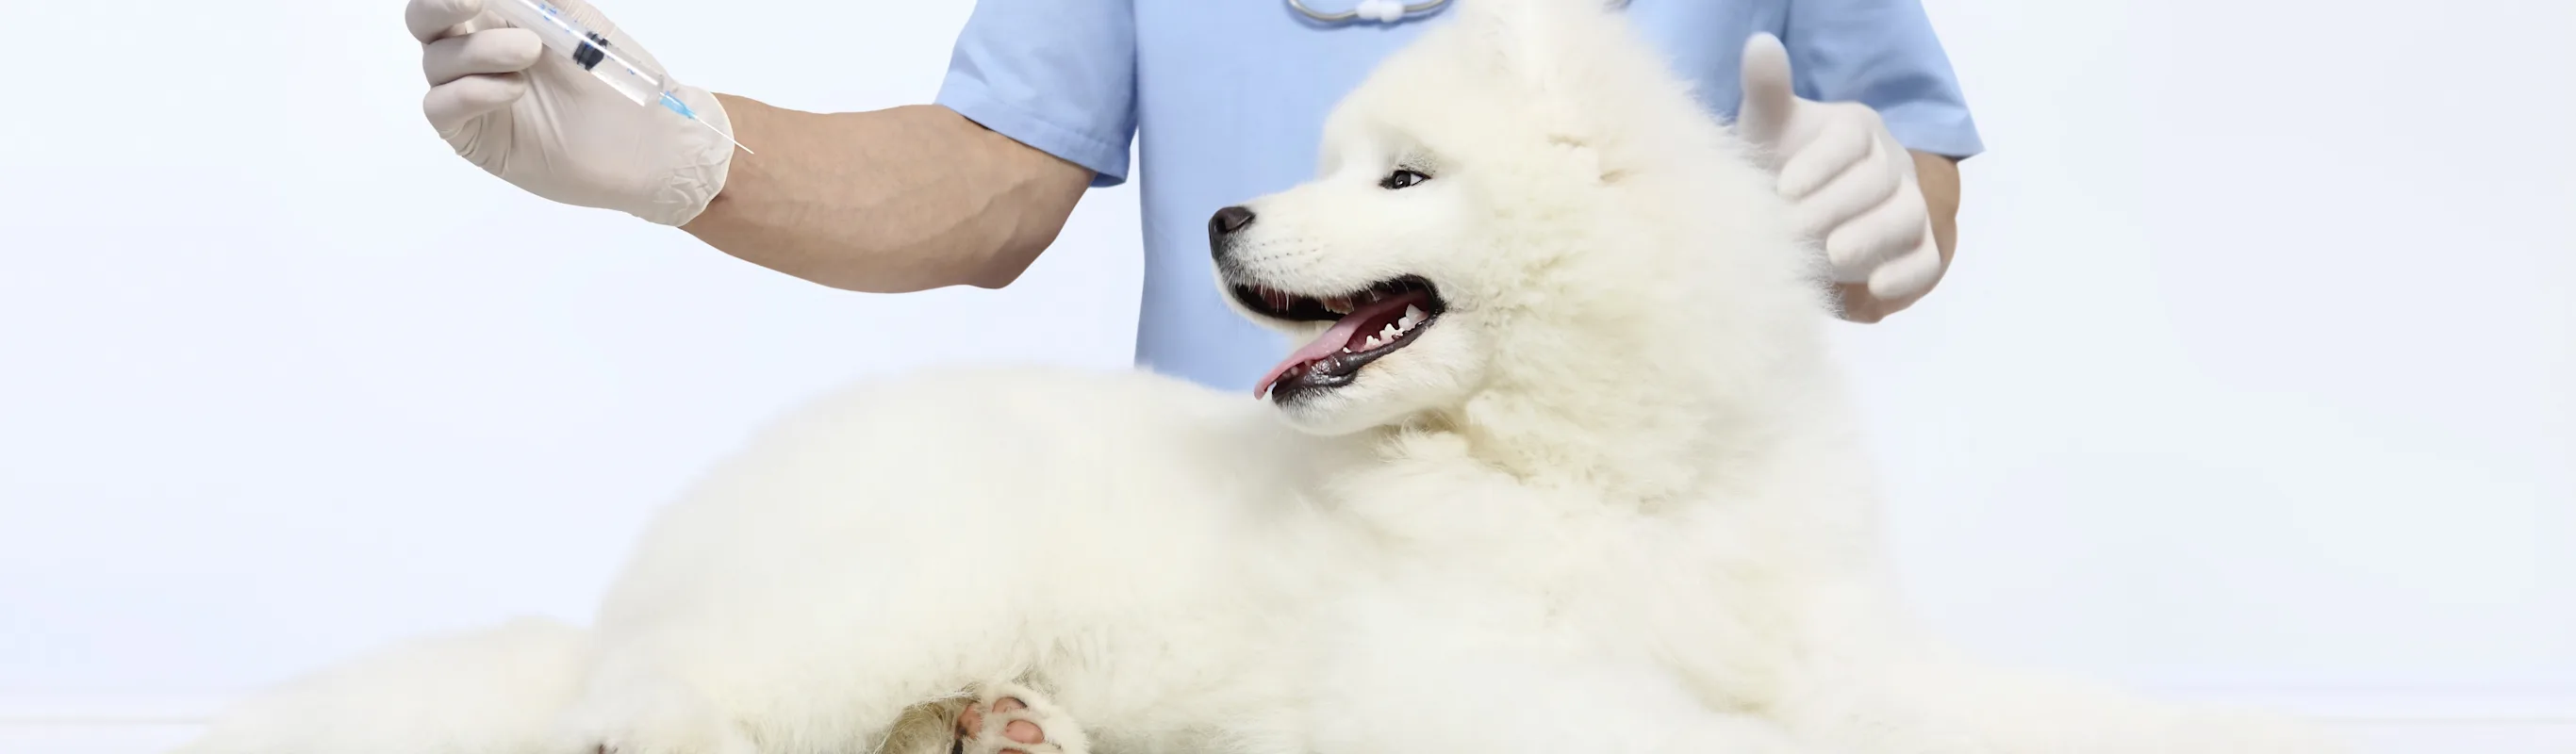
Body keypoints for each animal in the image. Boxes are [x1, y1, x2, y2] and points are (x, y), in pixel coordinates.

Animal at [181, 1, 2359, 751]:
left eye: (1397, 178)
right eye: (1326, 161)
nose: (1228, 214)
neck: (1590, 474)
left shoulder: (1840, 637)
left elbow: (2026, 704)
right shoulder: (1484, 691)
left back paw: (1005, 729)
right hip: (861, 580)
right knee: (639, 722)